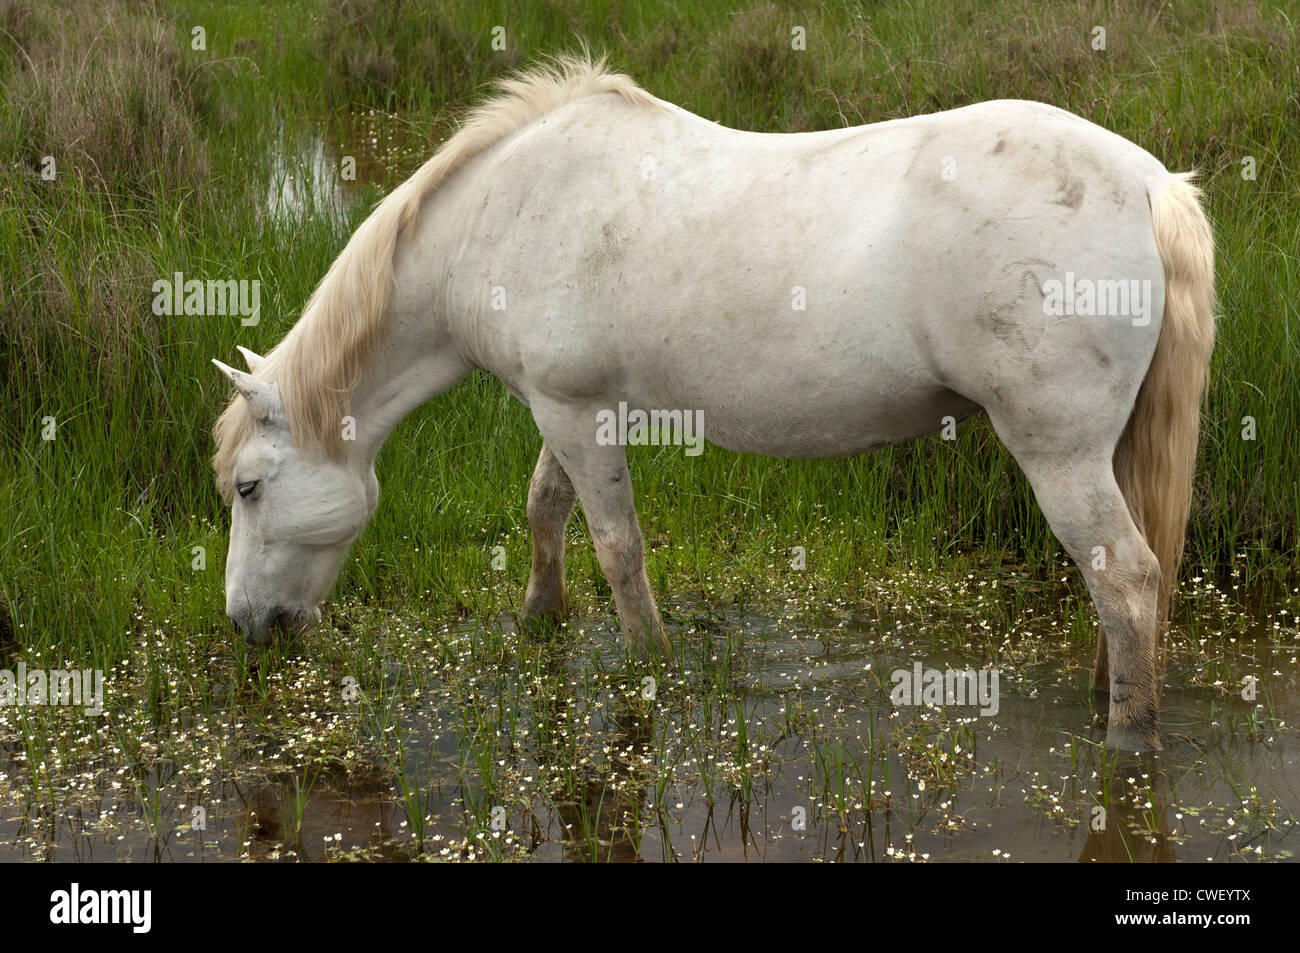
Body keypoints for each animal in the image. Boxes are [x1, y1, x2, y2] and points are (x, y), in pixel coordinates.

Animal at [213, 53, 1216, 748]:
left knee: (1128, 581)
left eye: (249, 487)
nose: (248, 626)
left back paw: (1127, 738)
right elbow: (544, 511)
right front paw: (539, 622)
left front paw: (649, 667)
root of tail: (1147, 182)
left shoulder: (575, 412)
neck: (507, 211)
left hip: (1057, 453)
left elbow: (618, 551)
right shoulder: (567, 408)